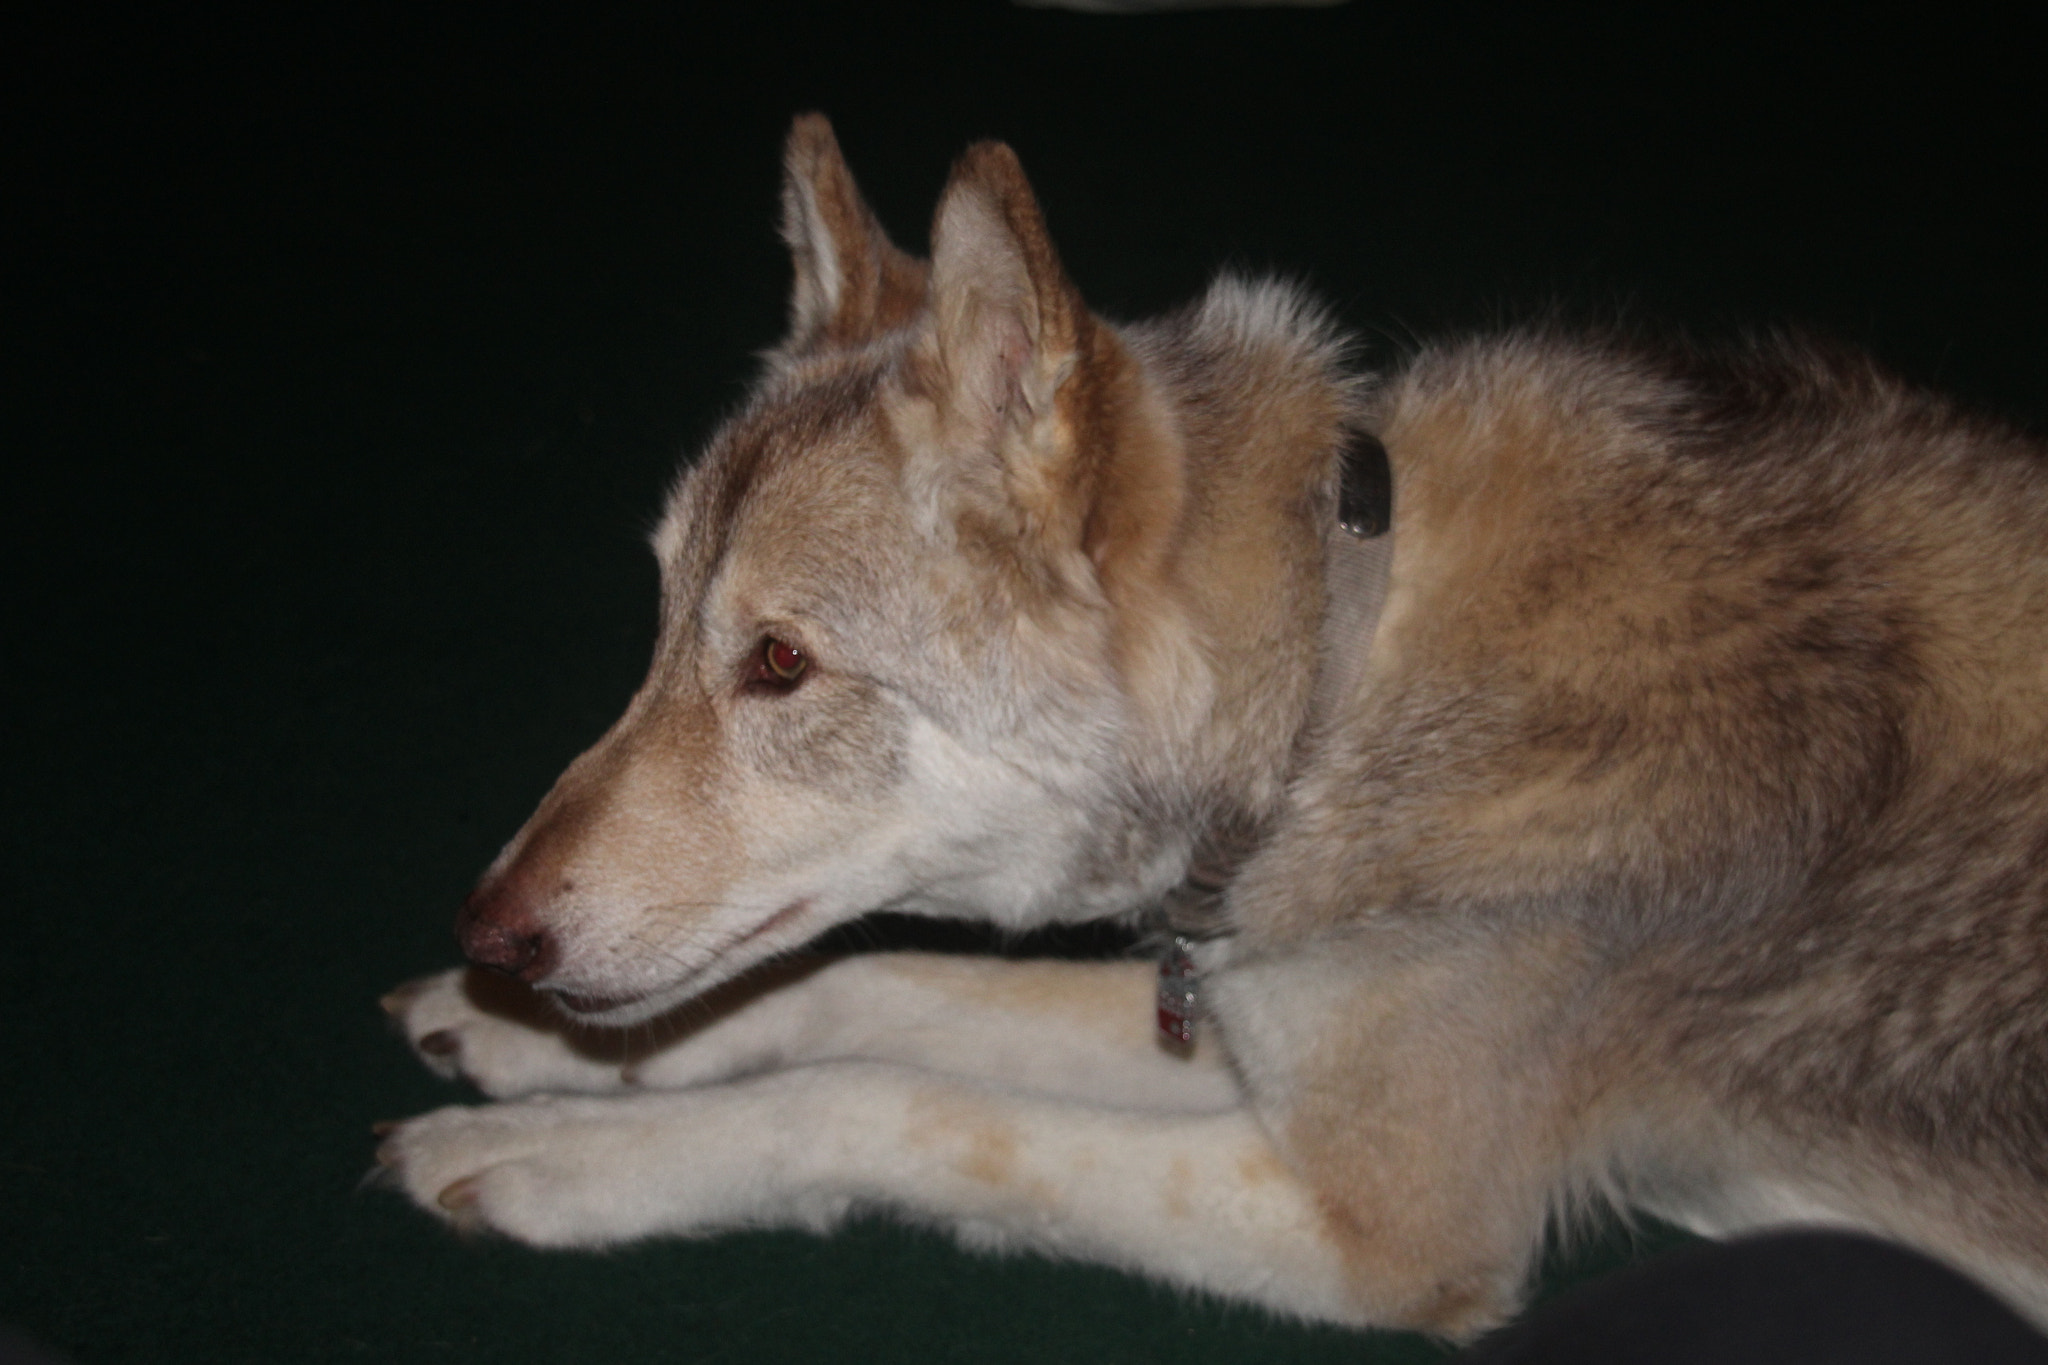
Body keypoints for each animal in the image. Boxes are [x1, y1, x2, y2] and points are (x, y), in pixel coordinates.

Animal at [376, 113, 2048, 1336]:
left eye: (779, 664)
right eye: (663, 623)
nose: (489, 930)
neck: (1338, 679)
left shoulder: (1380, 1224)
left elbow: (882, 1097)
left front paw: (559, 1158)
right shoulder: (1231, 1012)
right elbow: (856, 988)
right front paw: (526, 1049)